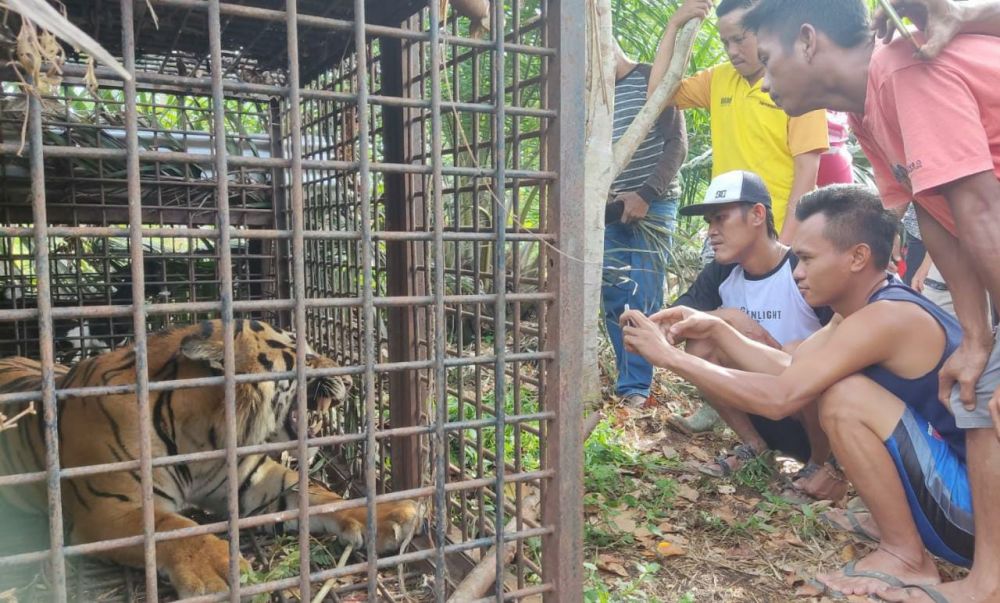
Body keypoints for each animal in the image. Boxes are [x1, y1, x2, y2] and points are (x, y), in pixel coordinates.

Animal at [0, 320, 420, 600]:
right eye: (306, 353)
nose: (350, 380)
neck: (204, 434)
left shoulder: (253, 482)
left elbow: (318, 495)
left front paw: (391, 513)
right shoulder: (106, 510)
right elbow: (172, 526)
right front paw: (223, 566)